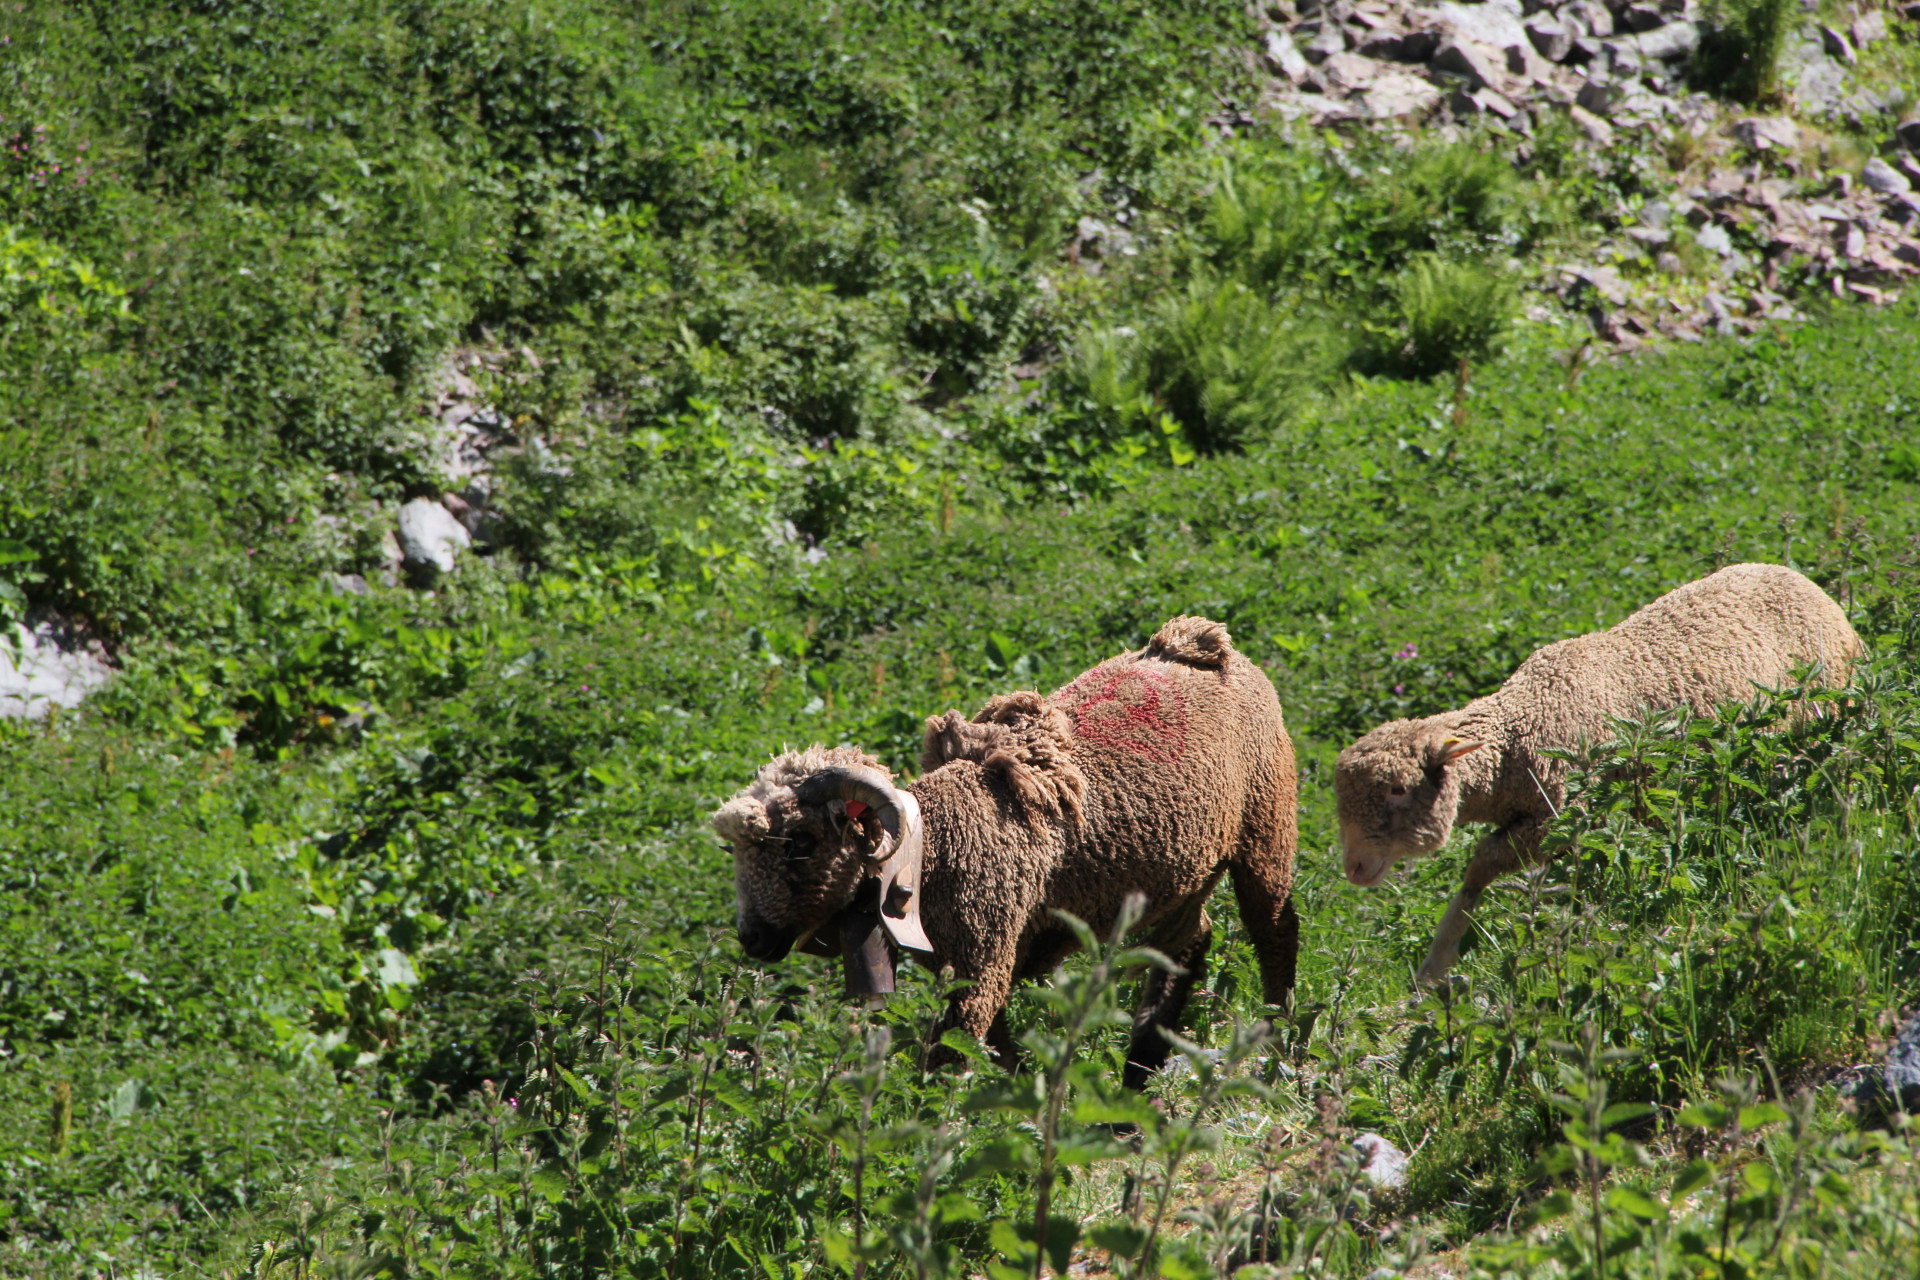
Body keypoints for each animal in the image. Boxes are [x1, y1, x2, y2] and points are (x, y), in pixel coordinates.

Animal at [714, 614, 1297, 1090]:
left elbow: (950, 1059)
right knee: (1189, 943)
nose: (753, 939)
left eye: (801, 842)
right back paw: (1140, 1070)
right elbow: (995, 1049)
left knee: (1275, 931)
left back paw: (1279, 1042)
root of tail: (1200, 644)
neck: (935, 848)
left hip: (1267, 824)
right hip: (1179, 875)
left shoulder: (982, 960)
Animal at [1336, 564, 1858, 990]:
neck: (1519, 728)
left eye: (1398, 790)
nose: (1355, 868)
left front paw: (1437, 963)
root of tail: (1807, 582)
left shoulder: (1565, 817)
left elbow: (1482, 866)